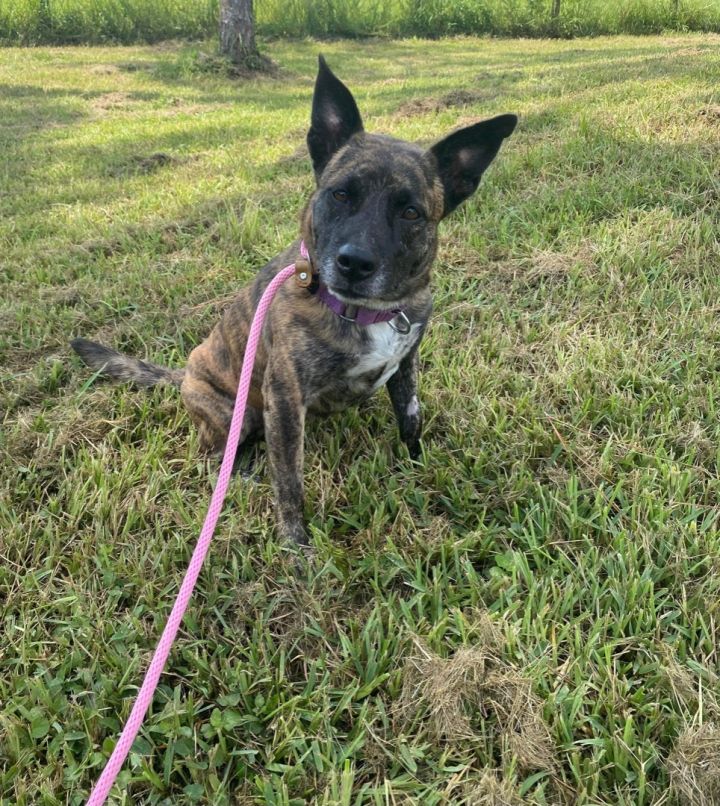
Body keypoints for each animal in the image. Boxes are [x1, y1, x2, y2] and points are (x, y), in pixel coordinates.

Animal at [70, 56, 516, 548]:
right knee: (214, 453)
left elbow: (411, 419)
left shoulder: (406, 365)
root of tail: (183, 375)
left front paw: (418, 465)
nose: (354, 263)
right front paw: (296, 545)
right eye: (340, 193)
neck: (362, 312)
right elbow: (289, 480)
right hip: (234, 413)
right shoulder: (283, 399)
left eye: (411, 212)